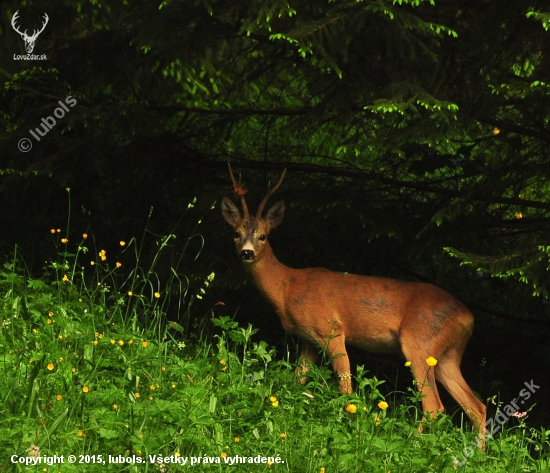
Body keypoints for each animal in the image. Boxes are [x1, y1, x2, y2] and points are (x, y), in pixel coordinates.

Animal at [221, 162, 488, 436]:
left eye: (263, 236)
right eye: (236, 233)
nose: (247, 252)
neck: (287, 288)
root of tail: (468, 318)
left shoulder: (332, 329)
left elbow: (346, 389)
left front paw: (346, 427)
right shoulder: (308, 341)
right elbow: (298, 381)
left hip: (419, 343)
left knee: (435, 407)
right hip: (447, 356)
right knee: (477, 407)